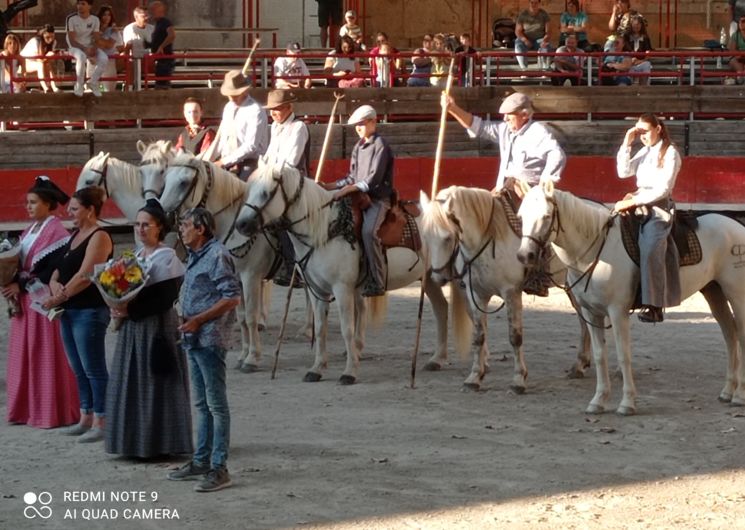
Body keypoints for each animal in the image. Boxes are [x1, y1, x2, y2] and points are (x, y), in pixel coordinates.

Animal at [158, 151, 306, 370]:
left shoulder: (250, 277)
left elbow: (251, 317)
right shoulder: (236, 280)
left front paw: (252, 358)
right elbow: (242, 318)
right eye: (166, 179)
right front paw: (243, 355)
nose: (164, 217)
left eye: (184, 182)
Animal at [232, 163, 448, 382]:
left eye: (266, 193)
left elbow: (347, 329)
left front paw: (349, 372)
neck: (325, 230)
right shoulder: (317, 290)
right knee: (442, 308)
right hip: (430, 279)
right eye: (248, 190)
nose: (241, 224)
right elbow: (320, 328)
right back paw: (436, 360)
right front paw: (316, 368)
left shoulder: (342, 288)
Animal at [418, 184, 588, 390]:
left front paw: (518, 379)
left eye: (448, 238)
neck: (488, 239)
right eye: (425, 237)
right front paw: (475, 376)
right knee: (584, 321)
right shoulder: (476, 294)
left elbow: (515, 336)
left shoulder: (511, 293)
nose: (438, 276)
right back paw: (580, 365)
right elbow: (478, 336)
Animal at [516, 179, 744, 414]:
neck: (594, 253)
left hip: (736, 292)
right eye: (521, 216)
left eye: (546, 216)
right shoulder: (591, 312)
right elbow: (600, 355)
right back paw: (727, 391)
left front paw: (627, 403)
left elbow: (623, 355)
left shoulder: (617, 311)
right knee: (730, 334)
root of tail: (736, 225)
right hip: (714, 291)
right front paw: (598, 400)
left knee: (740, 335)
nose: (525, 255)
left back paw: (739, 395)